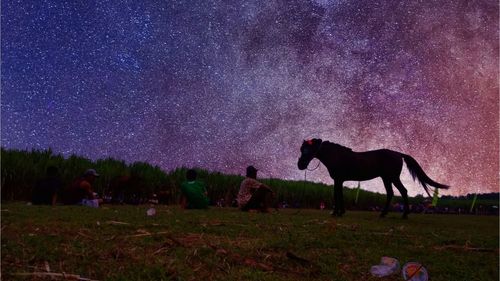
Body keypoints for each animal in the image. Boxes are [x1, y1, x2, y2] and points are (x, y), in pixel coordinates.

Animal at [296, 139, 450, 218]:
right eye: (301, 149)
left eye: (309, 150)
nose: (300, 165)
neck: (337, 156)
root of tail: (398, 154)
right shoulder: (338, 181)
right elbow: (339, 195)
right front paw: (340, 212)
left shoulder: (338, 180)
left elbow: (337, 195)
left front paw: (336, 213)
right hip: (386, 178)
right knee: (391, 193)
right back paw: (383, 214)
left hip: (392, 177)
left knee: (403, 191)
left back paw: (404, 214)